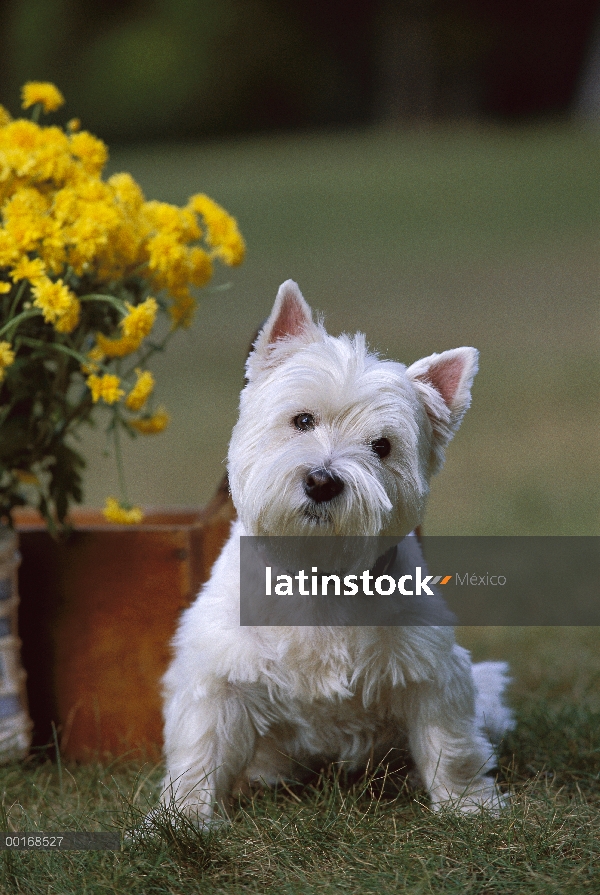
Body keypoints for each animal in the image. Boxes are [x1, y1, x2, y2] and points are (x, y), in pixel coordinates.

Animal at [158, 282, 510, 824]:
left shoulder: (432, 672)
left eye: (382, 446)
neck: (317, 569)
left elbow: (449, 744)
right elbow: (200, 752)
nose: (322, 482)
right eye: (302, 420)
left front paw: (467, 808)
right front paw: (179, 821)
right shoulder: (218, 676)